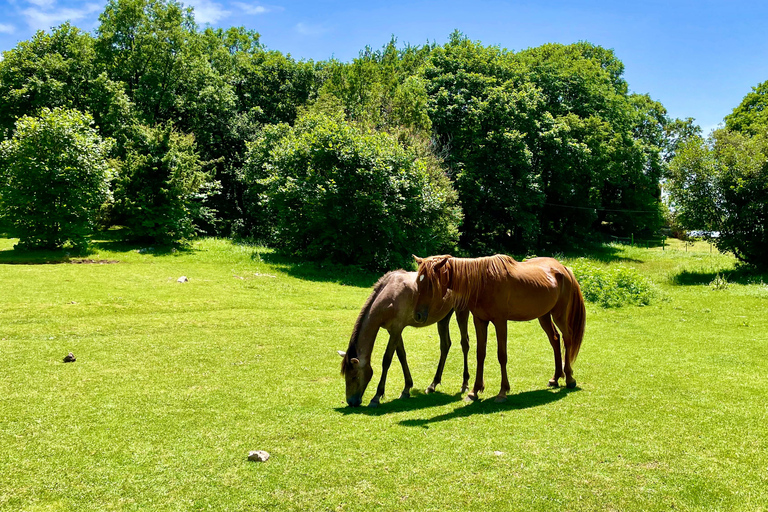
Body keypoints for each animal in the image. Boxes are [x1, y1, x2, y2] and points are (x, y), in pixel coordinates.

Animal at [340, 268, 472, 408]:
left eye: (354, 376)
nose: (351, 401)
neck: (390, 295)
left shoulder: (396, 328)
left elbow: (387, 360)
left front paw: (377, 396)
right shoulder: (393, 330)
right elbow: (401, 355)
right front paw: (406, 388)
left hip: (461, 311)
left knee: (465, 344)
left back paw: (465, 383)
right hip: (443, 317)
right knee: (445, 345)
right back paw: (433, 384)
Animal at [416, 254, 584, 402]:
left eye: (430, 284)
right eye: (418, 281)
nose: (418, 315)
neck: (482, 281)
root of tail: (563, 268)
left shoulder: (500, 322)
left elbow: (502, 355)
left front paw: (502, 392)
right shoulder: (480, 321)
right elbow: (480, 354)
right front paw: (474, 391)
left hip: (559, 315)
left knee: (567, 339)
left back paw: (569, 378)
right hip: (544, 316)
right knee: (555, 339)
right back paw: (555, 378)